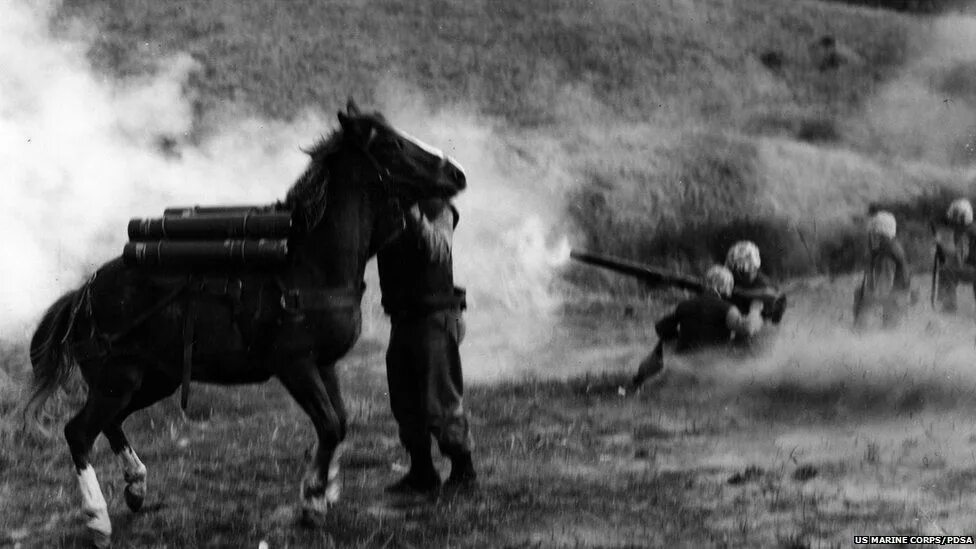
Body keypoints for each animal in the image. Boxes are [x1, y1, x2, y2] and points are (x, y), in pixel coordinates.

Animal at [23, 99, 466, 548]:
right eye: (391, 145)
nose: (457, 174)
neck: (310, 265)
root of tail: (82, 293)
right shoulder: (296, 366)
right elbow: (329, 425)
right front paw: (312, 500)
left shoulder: (324, 365)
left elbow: (339, 423)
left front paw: (323, 491)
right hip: (119, 380)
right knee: (79, 431)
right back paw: (98, 518)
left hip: (153, 380)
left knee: (110, 423)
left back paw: (136, 485)